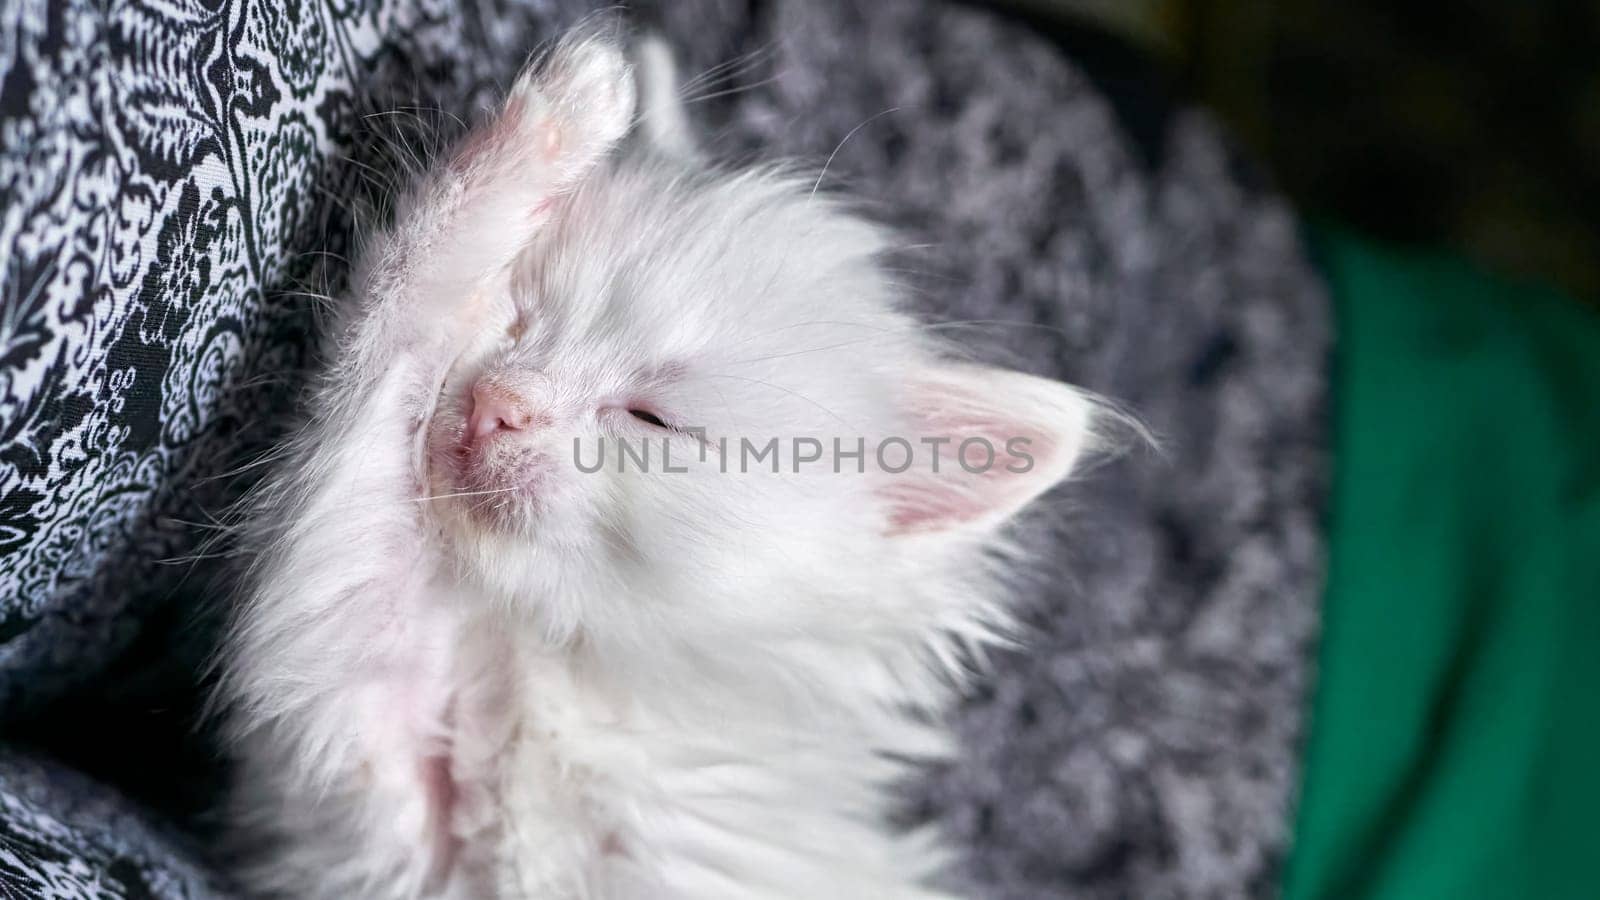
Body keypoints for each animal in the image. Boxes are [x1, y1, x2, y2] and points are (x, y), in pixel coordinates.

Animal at [222, 28, 1100, 896]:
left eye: (651, 418)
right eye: (520, 319)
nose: (498, 401)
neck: (568, 681)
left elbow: (399, 311)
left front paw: (569, 104)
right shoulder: (381, 761)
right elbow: (398, 317)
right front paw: (560, 123)